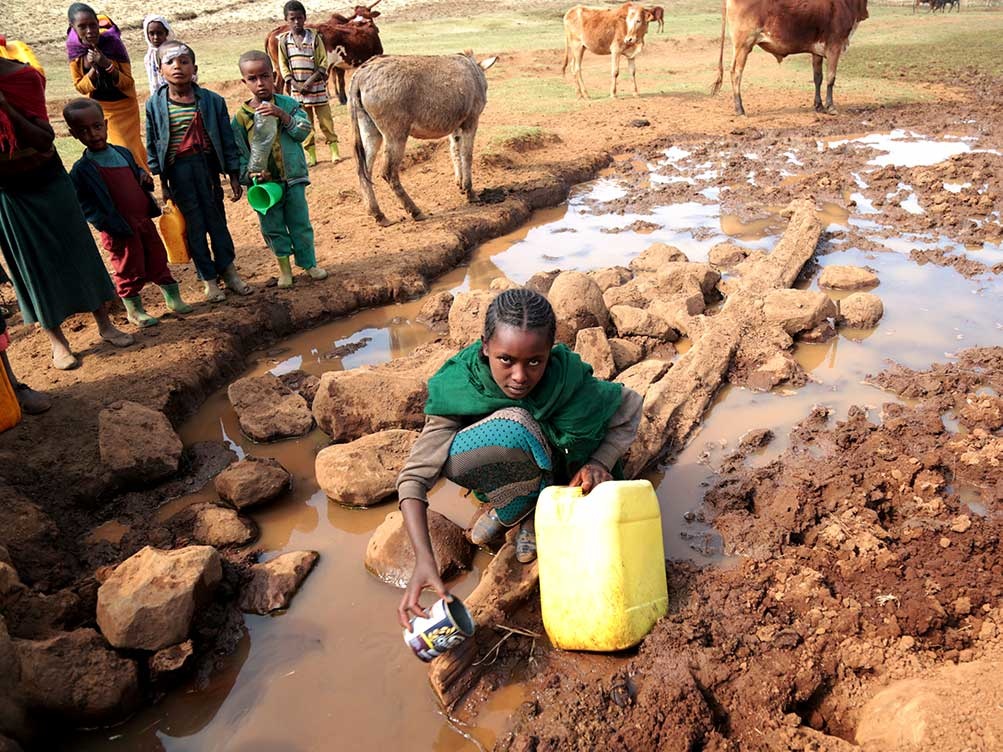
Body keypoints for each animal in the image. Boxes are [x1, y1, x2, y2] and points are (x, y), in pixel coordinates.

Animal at [714, 0, 870, 114]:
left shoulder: (817, 51)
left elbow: (818, 78)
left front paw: (819, 106)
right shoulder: (834, 46)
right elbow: (831, 78)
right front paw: (830, 107)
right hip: (743, 45)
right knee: (736, 73)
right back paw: (740, 109)